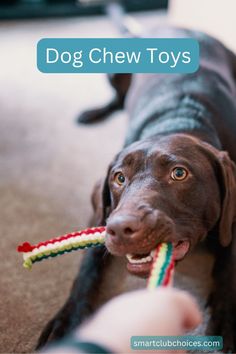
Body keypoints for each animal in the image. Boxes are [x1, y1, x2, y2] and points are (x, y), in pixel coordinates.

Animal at [37, 27, 236, 352]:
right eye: (119, 178)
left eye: (179, 173)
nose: (121, 228)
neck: (178, 120)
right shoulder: (102, 215)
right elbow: (86, 267)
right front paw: (67, 320)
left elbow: (228, 265)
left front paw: (225, 319)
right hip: (114, 70)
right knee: (118, 100)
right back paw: (93, 112)